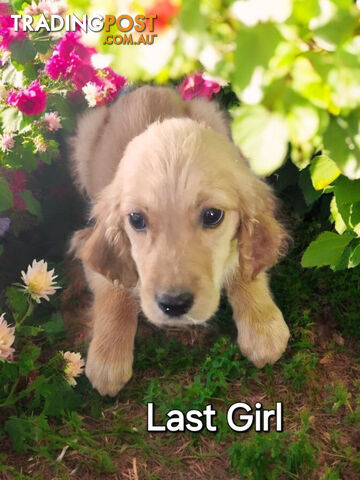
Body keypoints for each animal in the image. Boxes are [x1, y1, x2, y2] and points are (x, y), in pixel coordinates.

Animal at [69, 86, 290, 398]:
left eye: (212, 215)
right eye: (136, 219)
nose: (174, 305)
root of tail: (145, 87)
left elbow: (242, 263)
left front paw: (263, 327)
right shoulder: (90, 243)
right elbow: (116, 290)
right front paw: (107, 360)